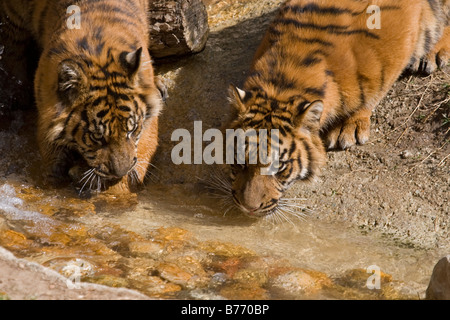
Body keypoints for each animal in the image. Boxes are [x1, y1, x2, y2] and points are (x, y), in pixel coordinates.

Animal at [227, 0, 450, 218]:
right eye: (240, 162)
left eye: (278, 166)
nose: (249, 208)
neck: (282, 84)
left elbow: (374, 92)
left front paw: (350, 126)